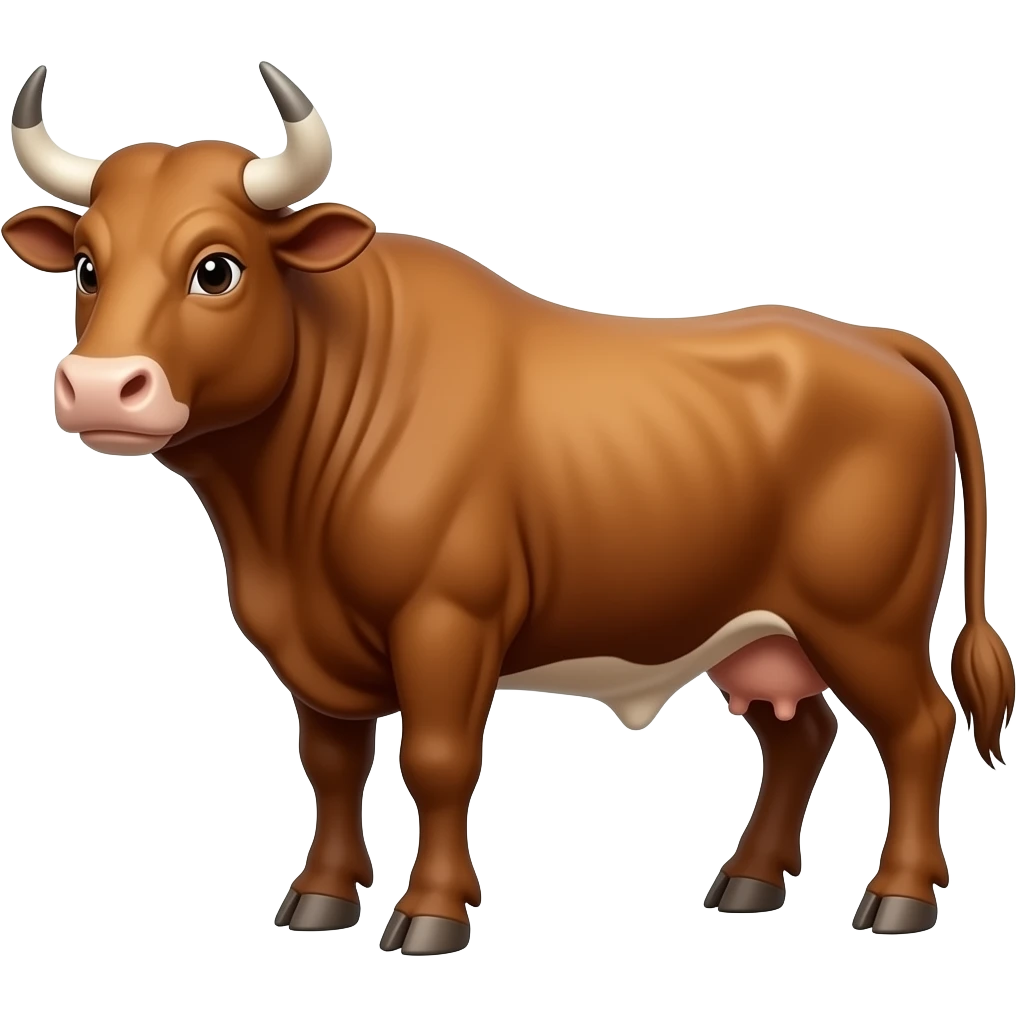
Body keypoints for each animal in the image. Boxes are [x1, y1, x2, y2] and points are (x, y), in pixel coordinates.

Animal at [4, 60, 1014, 953]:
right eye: (87, 267)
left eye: (216, 268)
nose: (100, 387)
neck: (277, 528)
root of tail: (875, 342)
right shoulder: (309, 643)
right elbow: (331, 765)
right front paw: (321, 898)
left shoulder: (448, 620)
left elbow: (436, 761)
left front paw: (431, 914)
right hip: (756, 628)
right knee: (799, 733)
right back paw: (747, 882)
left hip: (865, 618)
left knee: (917, 728)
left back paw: (897, 898)